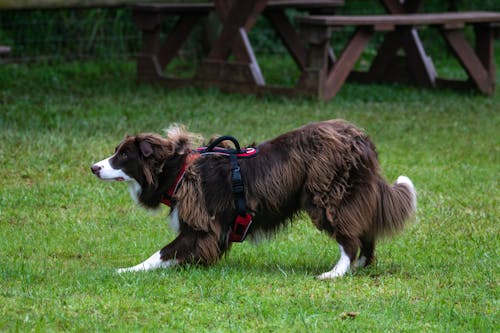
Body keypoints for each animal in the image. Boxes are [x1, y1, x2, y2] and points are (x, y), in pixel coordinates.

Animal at [92, 119, 416, 278]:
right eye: (116, 151)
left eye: (124, 155)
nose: (94, 167)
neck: (178, 169)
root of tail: (359, 138)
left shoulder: (202, 226)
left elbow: (161, 252)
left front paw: (126, 271)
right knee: (366, 232)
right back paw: (360, 265)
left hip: (325, 198)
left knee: (349, 238)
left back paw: (335, 273)